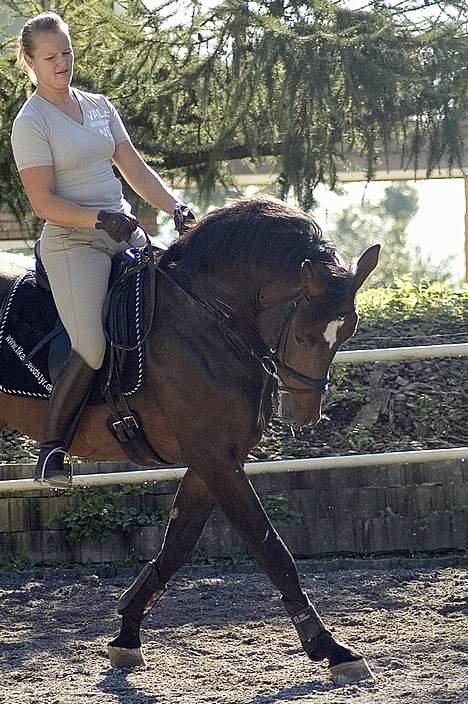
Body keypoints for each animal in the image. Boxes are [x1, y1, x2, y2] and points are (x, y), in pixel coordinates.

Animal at [0, 195, 380, 684]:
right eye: (303, 335)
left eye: (347, 331)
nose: (304, 415)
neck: (212, 317)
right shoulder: (214, 457)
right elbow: (270, 547)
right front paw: (330, 648)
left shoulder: (211, 459)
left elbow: (177, 544)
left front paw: (126, 634)